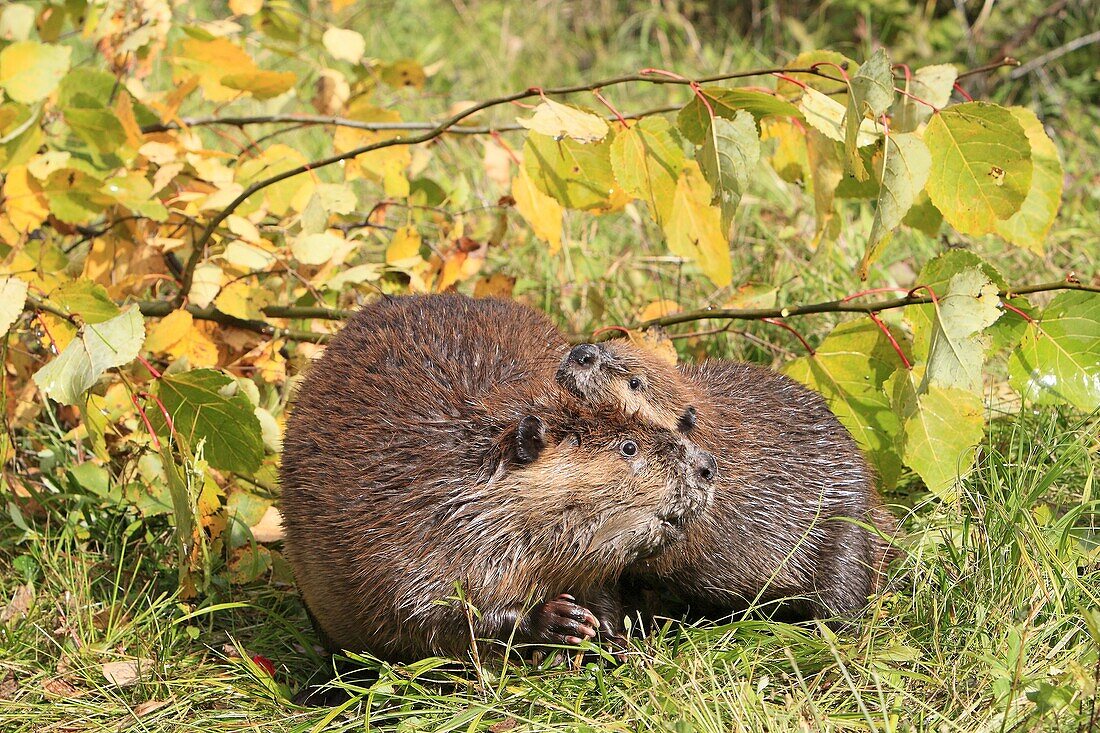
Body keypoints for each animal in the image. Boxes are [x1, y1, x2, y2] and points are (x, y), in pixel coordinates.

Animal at [279, 294, 717, 660]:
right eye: (629, 447)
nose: (707, 467)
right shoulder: (397, 530)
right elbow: (421, 611)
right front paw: (560, 619)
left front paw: (614, 635)